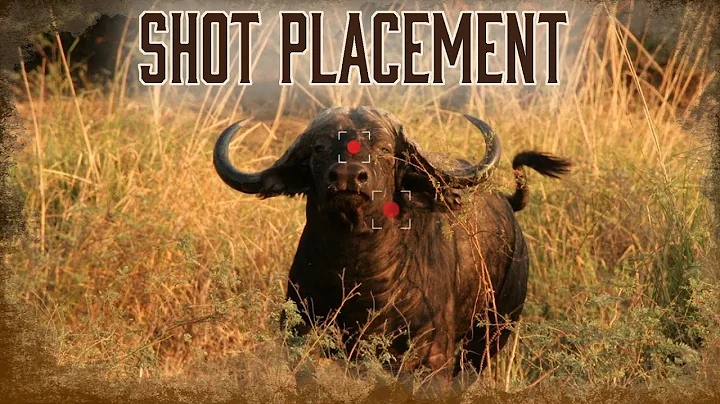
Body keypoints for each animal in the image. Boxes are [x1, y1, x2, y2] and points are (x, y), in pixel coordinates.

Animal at [213, 106, 570, 381]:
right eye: (319, 148)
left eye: (384, 149)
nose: (348, 176)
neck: (359, 275)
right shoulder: (301, 337)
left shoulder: (431, 359)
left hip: (490, 336)